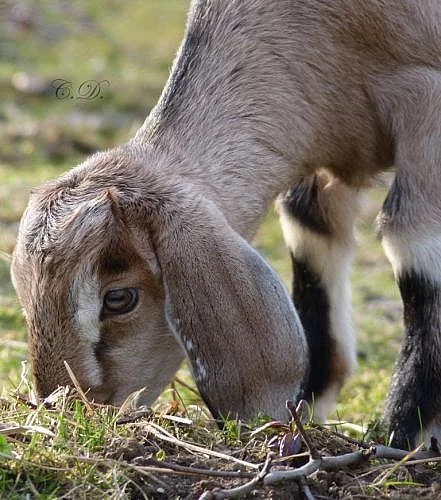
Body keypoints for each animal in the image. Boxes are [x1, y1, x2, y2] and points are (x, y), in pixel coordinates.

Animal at [10, 0, 441, 452]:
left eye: (120, 298)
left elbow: (412, 243)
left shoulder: (426, 108)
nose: (73, 412)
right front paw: (305, 412)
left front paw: (407, 436)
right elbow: (311, 234)